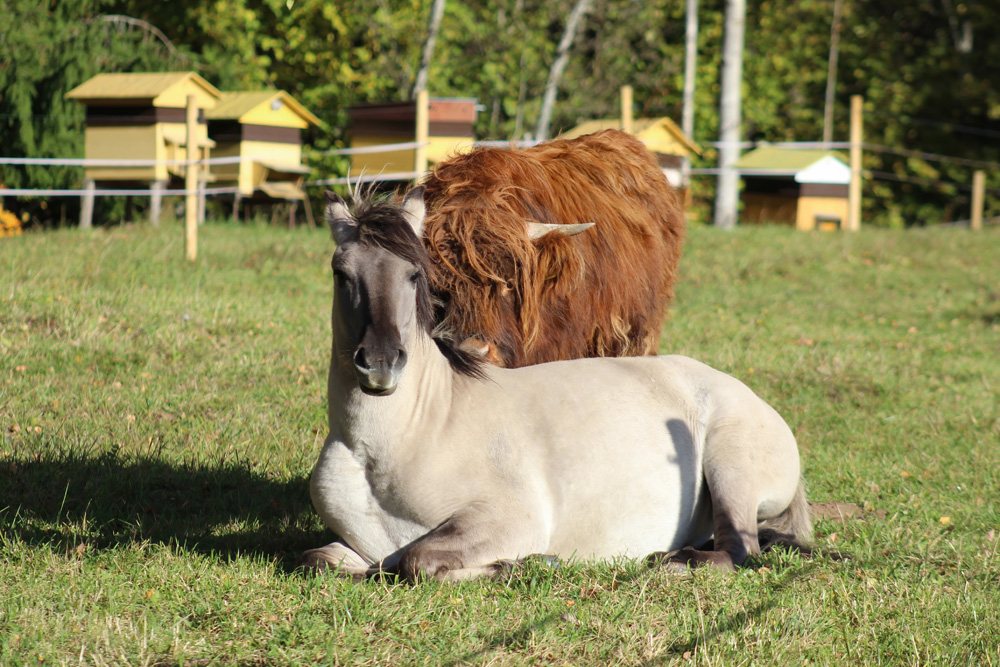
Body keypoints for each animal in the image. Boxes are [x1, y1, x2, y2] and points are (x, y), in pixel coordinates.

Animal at [302, 188, 811, 582]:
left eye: (413, 274)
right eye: (341, 274)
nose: (380, 364)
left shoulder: (505, 519)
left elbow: (418, 561)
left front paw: (525, 565)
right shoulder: (355, 547)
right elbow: (320, 559)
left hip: (729, 468)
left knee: (740, 550)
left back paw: (672, 562)